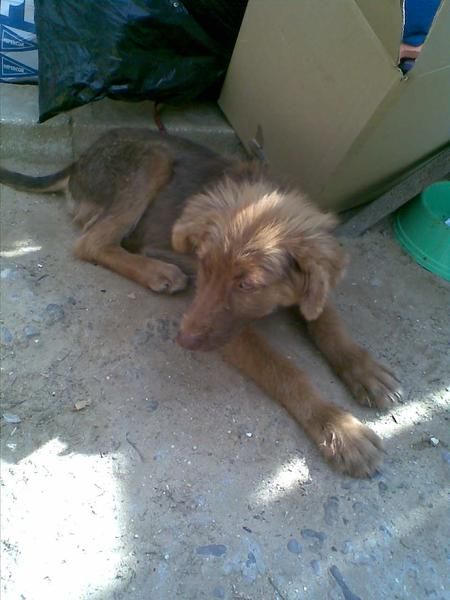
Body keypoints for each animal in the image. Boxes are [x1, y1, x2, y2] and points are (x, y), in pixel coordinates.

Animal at [0, 129, 400, 476]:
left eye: (246, 284)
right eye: (204, 264)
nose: (182, 340)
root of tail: (80, 158)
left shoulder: (309, 291)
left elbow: (329, 322)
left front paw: (365, 370)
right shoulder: (226, 333)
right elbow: (286, 371)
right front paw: (338, 428)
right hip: (152, 159)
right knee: (91, 242)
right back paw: (159, 270)